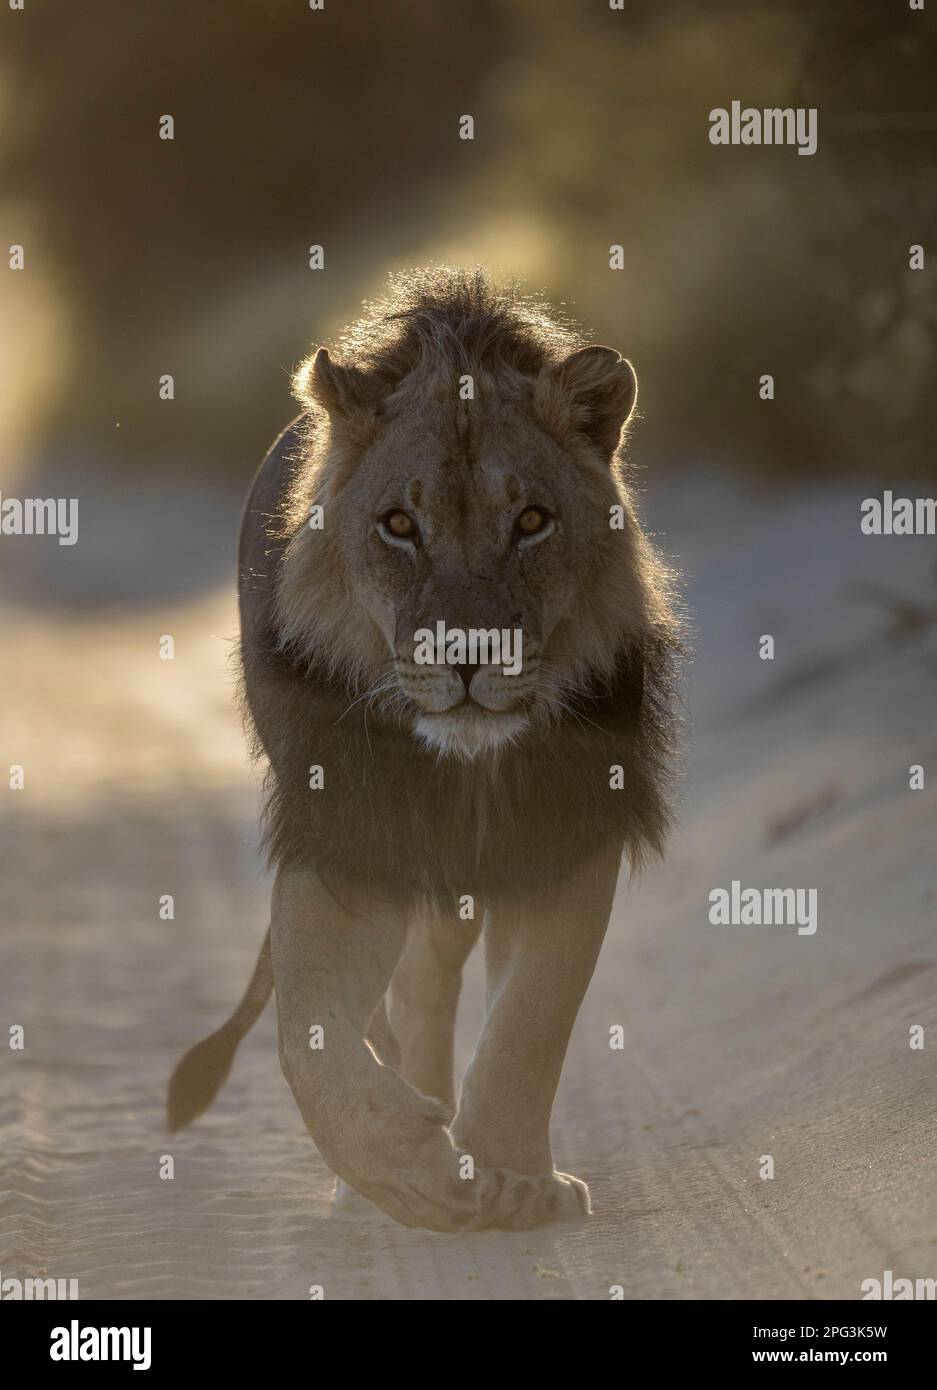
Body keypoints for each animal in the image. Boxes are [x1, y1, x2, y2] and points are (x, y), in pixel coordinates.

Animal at [167, 267, 681, 1232]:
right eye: (399, 525)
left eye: (532, 520)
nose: (468, 655)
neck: (468, 761)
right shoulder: (345, 835)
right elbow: (308, 1033)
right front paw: (404, 1170)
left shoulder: (566, 834)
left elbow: (532, 1020)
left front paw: (511, 1172)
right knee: (408, 992)